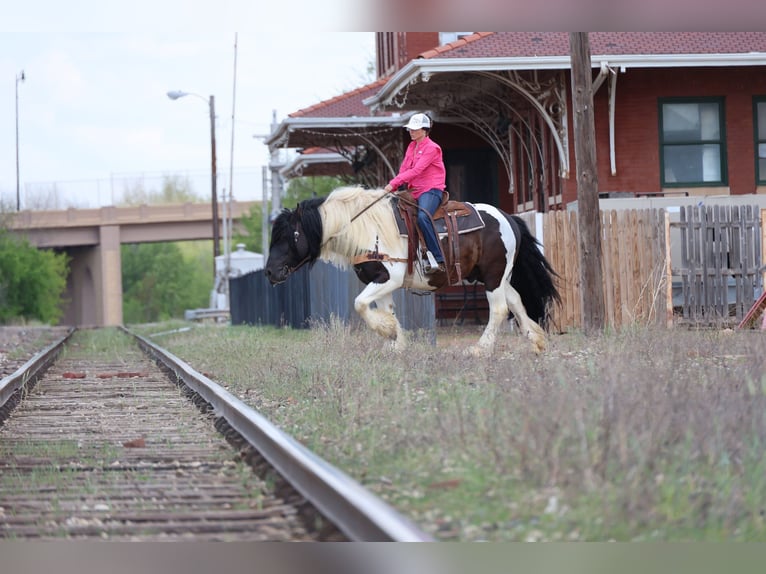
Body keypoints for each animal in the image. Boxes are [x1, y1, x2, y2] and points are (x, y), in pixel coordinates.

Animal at [265, 186, 560, 357]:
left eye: (290, 236)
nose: (270, 272)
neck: (366, 229)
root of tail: (508, 217)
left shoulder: (388, 278)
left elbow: (360, 303)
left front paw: (387, 333)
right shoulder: (380, 281)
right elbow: (385, 310)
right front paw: (394, 340)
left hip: (493, 275)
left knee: (499, 309)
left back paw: (480, 349)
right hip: (498, 276)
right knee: (516, 301)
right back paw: (536, 342)